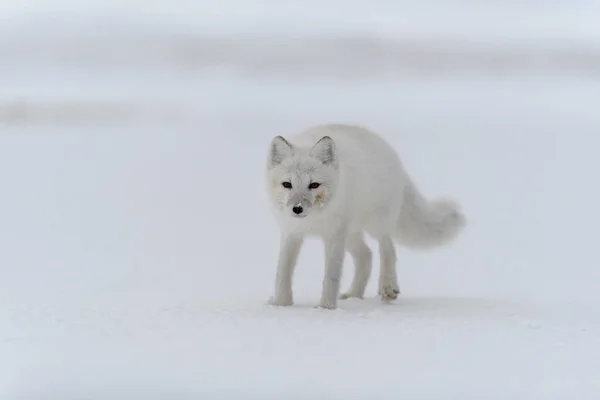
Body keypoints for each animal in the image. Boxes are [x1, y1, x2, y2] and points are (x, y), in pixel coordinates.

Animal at [264, 124, 466, 310]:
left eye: (314, 185)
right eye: (287, 184)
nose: (297, 209)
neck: (312, 221)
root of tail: (391, 152)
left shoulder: (334, 236)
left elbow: (331, 275)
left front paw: (326, 308)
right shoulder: (291, 233)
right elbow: (282, 272)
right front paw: (282, 306)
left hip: (374, 224)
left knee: (388, 249)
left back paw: (387, 286)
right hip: (351, 234)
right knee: (366, 255)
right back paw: (354, 295)